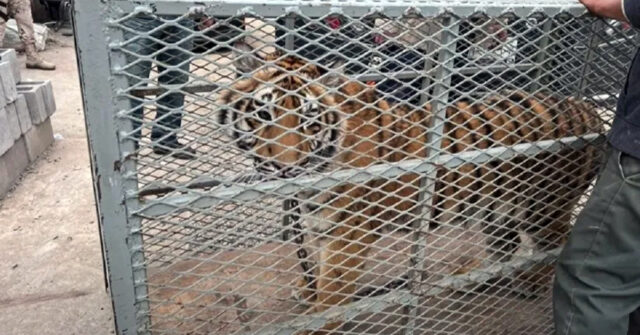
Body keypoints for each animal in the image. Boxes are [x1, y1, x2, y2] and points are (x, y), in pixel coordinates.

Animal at [218, 43, 604, 334]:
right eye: (263, 115)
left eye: (309, 121)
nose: (286, 168)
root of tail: (588, 108)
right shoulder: (319, 222)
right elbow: (311, 260)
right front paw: (306, 290)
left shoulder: (349, 233)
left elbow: (333, 289)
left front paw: (317, 321)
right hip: (497, 206)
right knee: (504, 245)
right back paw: (473, 280)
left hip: (542, 206)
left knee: (556, 240)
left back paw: (531, 282)